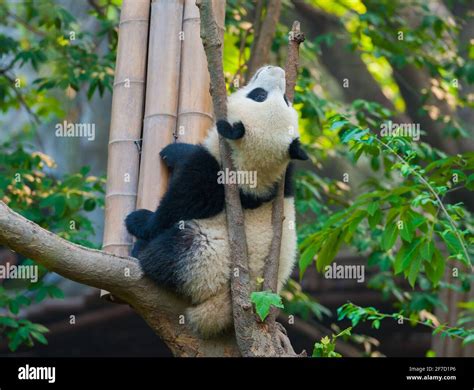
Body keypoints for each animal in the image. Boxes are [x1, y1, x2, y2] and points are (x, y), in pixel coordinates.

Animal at [125, 65, 308, 336]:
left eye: (258, 96)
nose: (276, 69)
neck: (254, 170)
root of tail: (221, 313)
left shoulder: (215, 178)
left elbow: (176, 206)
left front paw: (139, 221)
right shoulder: (285, 178)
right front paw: (173, 150)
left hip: (206, 262)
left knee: (175, 248)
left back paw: (143, 252)